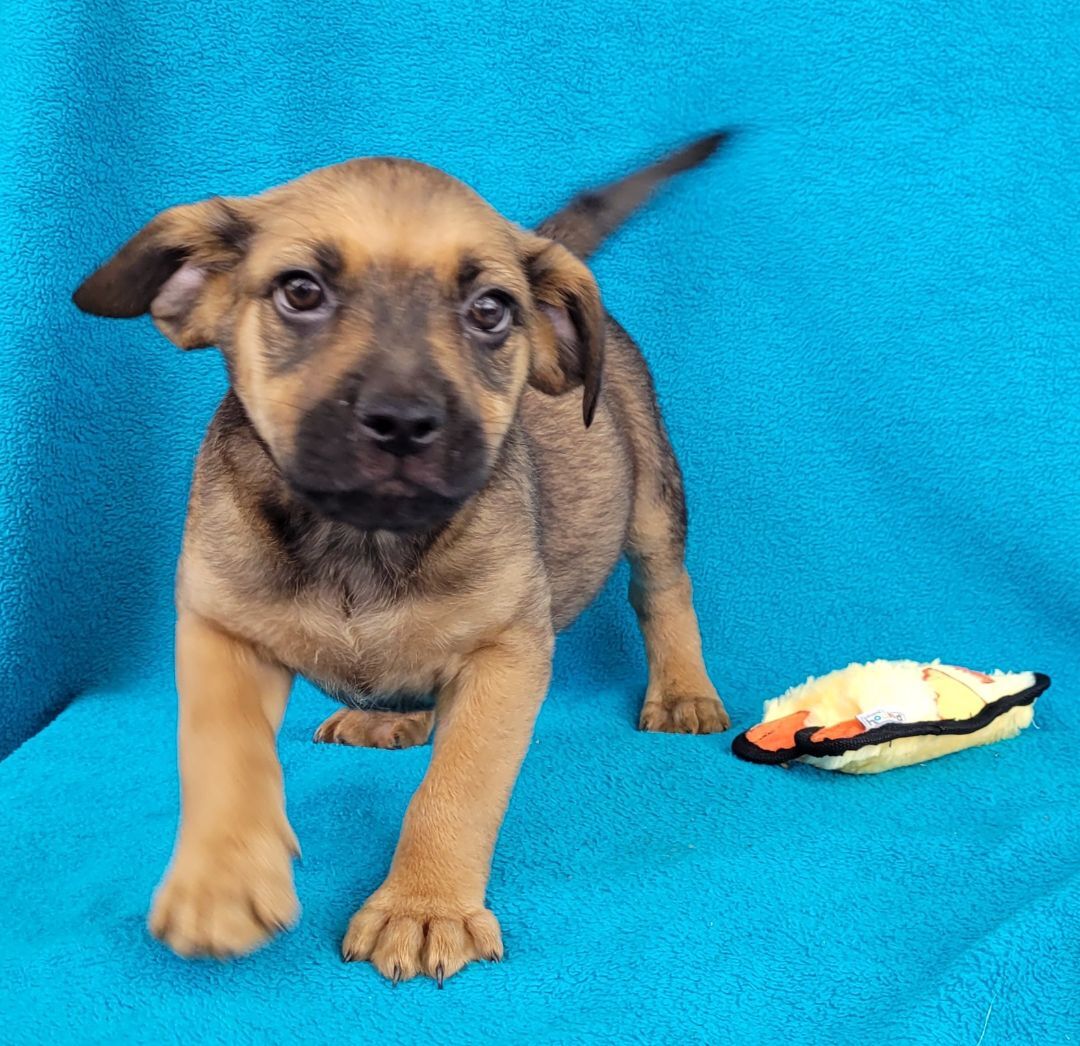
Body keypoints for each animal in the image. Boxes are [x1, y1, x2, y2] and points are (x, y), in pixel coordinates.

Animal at [73, 134, 734, 984]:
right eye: (300, 291)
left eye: (490, 311)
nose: (402, 420)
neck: (363, 539)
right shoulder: (221, 630)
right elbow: (221, 751)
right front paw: (222, 876)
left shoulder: (506, 656)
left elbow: (456, 789)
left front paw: (422, 906)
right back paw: (392, 715)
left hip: (651, 494)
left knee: (663, 591)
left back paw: (683, 689)